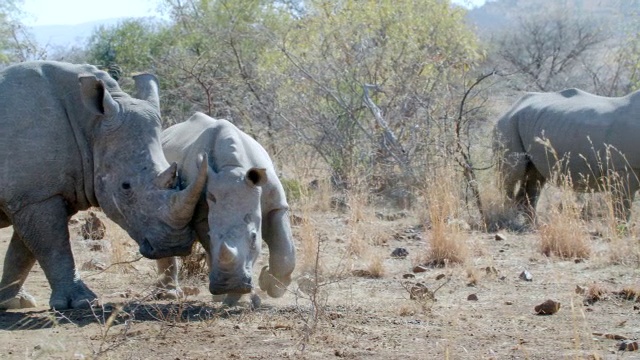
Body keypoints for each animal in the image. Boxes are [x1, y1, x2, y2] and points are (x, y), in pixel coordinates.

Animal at [0, 61, 206, 310]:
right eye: (125, 187)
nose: (173, 246)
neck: (91, 126)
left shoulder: (37, 192)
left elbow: (23, 251)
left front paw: (14, 301)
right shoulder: (36, 195)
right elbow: (53, 245)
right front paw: (81, 301)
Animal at [160, 112, 298, 304]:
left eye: (254, 237)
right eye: (211, 236)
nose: (230, 285)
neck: (233, 169)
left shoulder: (276, 205)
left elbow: (285, 251)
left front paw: (271, 287)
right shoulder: (201, 211)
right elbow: (213, 247)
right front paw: (234, 297)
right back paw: (175, 294)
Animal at [496, 87, 640, 222]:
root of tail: (512, 107)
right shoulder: (625, 169)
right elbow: (623, 206)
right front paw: (621, 228)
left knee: (534, 177)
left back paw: (532, 224)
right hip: (507, 124)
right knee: (513, 174)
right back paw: (509, 218)